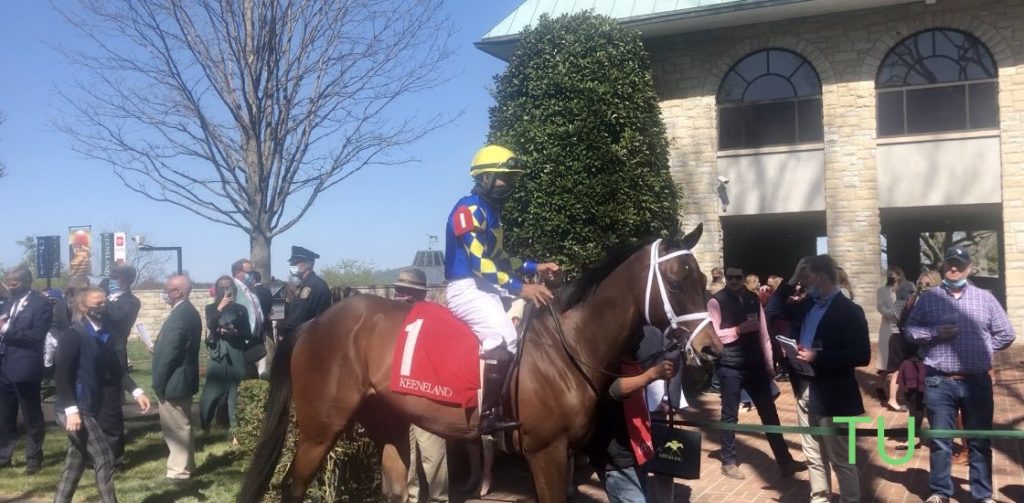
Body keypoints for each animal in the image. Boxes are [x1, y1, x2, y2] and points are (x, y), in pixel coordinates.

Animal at [238, 225, 720, 503]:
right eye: (676, 282)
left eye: (702, 279)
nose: (712, 350)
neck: (565, 346)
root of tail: (313, 323)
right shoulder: (546, 451)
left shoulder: (563, 454)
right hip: (319, 429)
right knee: (293, 488)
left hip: (385, 421)